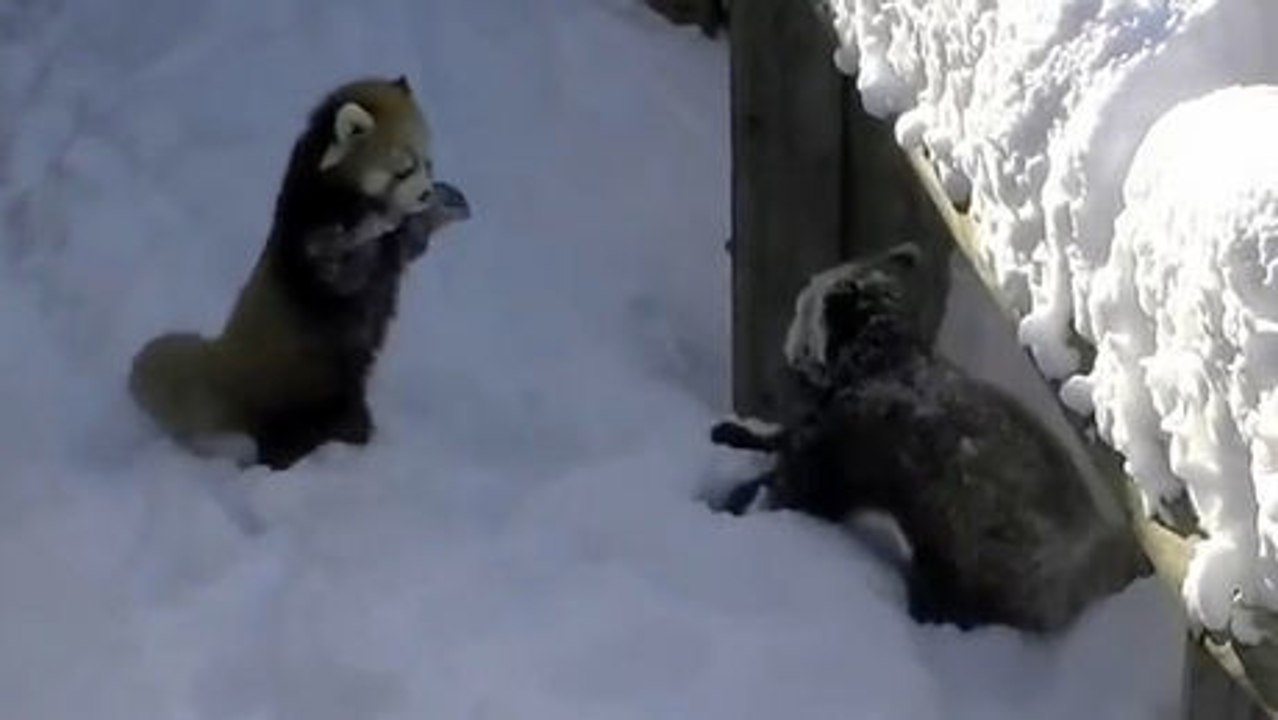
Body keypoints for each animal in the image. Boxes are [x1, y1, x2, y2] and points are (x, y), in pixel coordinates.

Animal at [129, 76, 470, 470]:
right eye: (403, 169)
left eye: (428, 164)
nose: (426, 193)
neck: (336, 194)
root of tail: (228, 375)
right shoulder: (310, 243)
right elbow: (342, 265)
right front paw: (379, 221)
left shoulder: (393, 252)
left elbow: (411, 245)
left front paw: (442, 206)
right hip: (311, 400)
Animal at [709, 243, 1148, 633]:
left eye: (801, 306)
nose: (790, 352)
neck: (879, 359)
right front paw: (738, 436)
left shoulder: (849, 443)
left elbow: (800, 485)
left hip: (980, 555)